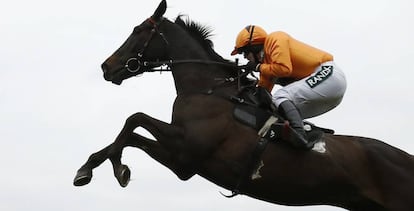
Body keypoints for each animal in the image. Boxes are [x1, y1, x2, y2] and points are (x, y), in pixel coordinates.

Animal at [73, 0, 414, 210]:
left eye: (139, 31)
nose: (106, 67)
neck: (208, 89)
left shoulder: (185, 156)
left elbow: (134, 120)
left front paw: (104, 168)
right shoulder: (182, 155)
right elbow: (132, 129)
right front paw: (97, 166)